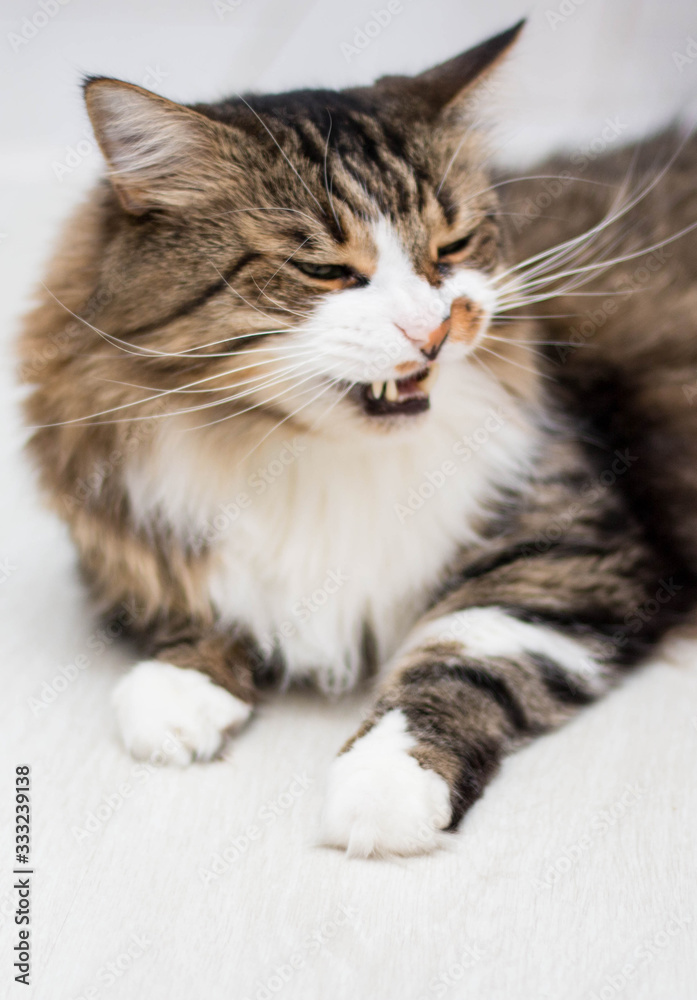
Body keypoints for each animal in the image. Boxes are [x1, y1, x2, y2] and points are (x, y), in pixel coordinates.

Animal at [19, 19, 696, 856]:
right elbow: (190, 604)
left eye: (452, 248)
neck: (304, 454)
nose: (435, 330)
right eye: (324, 270)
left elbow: (457, 658)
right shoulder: (122, 526)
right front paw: (179, 694)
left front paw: (383, 788)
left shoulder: (573, 548)